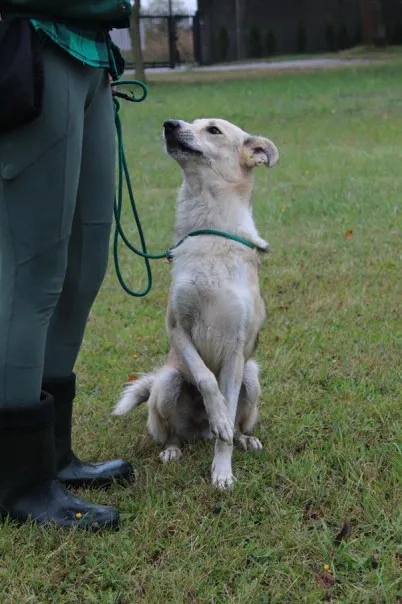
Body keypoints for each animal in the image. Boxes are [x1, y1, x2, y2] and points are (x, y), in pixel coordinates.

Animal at [112, 119, 276, 490]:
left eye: (213, 129)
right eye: (190, 122)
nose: (169, 124)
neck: (210, 231)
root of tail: (199, 432)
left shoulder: (235, 351)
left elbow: (226, 421)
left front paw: (222, 471)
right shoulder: (178, 328)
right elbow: (205, 379)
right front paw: (216, 414)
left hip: (251, 376)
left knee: (238, 425)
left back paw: (244, 439)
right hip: (167, 383)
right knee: (174, 432)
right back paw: (174, 449)